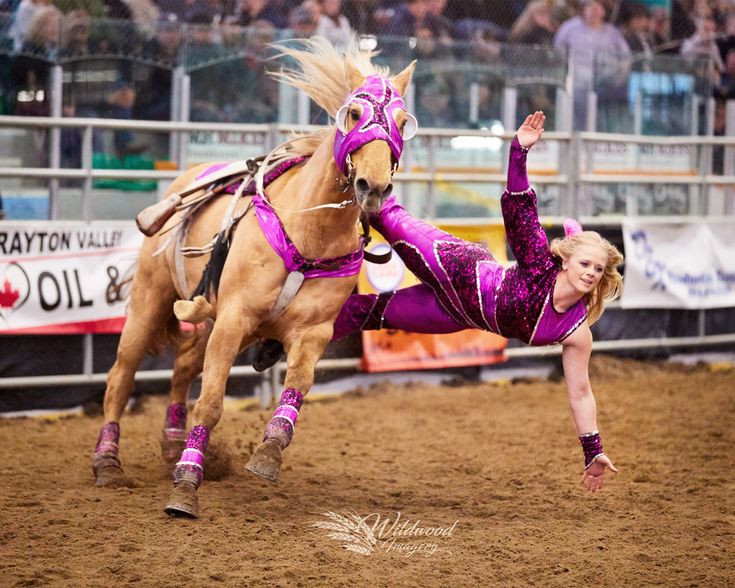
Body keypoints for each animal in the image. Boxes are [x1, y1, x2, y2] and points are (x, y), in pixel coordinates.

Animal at [90, 36, 420, 516]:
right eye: (354, 113)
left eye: (401, 122)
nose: (373, 188)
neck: (310, 231)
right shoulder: (234, 318)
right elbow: (210, 404)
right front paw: (185, 487)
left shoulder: (312, 332)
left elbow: (297, 386)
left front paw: (269, 450)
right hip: (150, 303)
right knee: (121, 375)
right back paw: (108, 463)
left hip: (207, 320)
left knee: (182, 368)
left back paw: (171, 444)